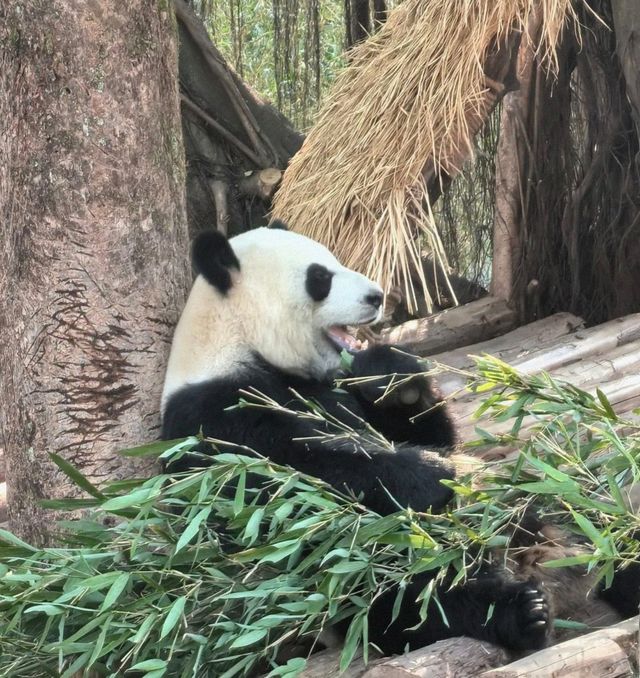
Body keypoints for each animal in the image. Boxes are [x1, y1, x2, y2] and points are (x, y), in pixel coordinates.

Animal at [159, 227, 636, 660]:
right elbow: (285, 484)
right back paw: (522, 612)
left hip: (557, 508)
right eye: (320, 277)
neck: (236, 342)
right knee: (408, 599)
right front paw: (432, 477)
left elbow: (421, 430)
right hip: (355, 573)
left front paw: (392, 376)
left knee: (595, 519)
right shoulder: (214, 415)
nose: (376, 297)